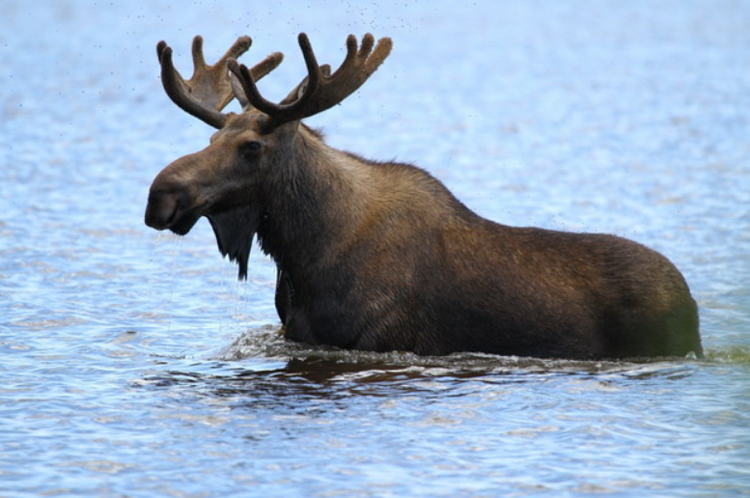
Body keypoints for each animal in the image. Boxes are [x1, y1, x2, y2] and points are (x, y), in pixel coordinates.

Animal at [147, 34, 704, 358]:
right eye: (211, 140)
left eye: (251, 147)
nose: (160, 194)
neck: (303, 251)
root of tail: (690, 300)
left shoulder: (379, 340)